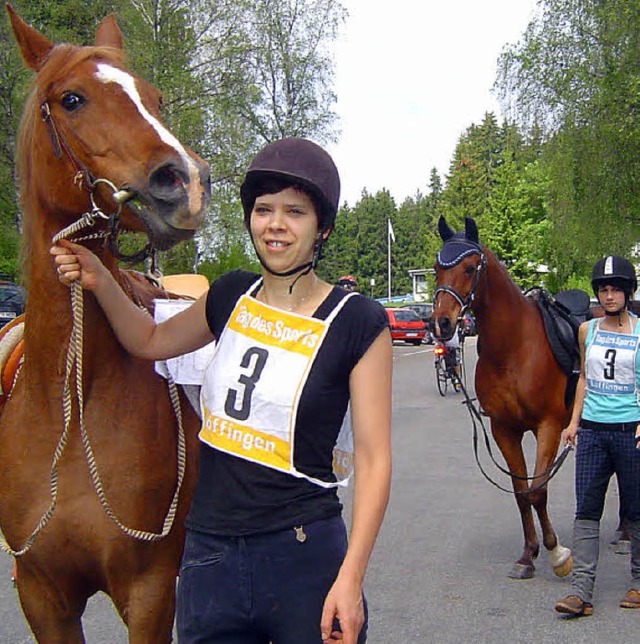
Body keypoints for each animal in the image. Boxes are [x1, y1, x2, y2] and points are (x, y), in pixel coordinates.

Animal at [0, 7, 210, 640]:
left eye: (155, 97)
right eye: (72, 99)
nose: (186, 181)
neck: (71, 407)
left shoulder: (148, 593)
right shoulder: (43, 596)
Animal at [432, 216, 572, 580]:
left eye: (469, 268)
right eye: (436, 268)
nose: (442, 323)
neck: (514, 349)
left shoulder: (548, 426)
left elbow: (538, 489)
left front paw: (556, 551)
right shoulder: (504, 430)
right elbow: (522, 494)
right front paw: (528, 555)